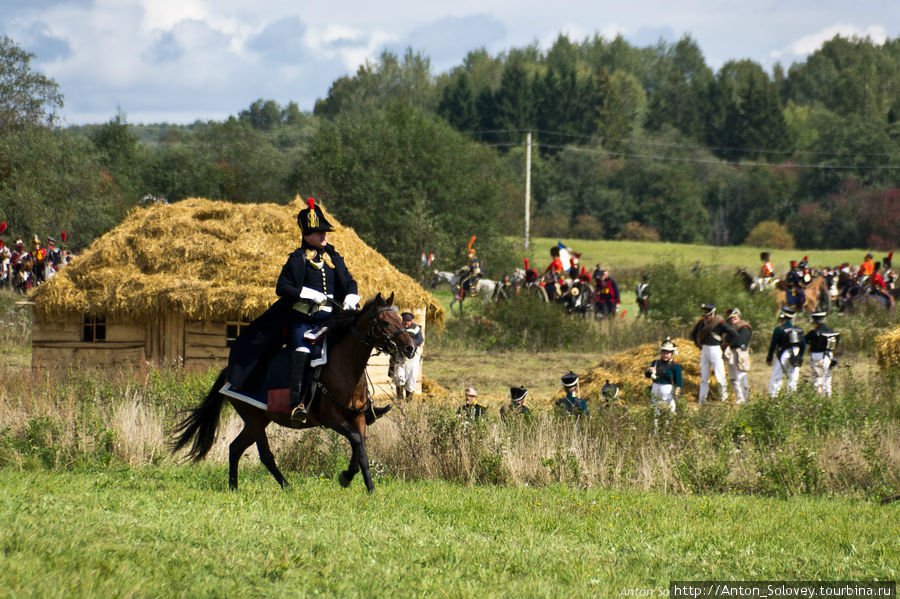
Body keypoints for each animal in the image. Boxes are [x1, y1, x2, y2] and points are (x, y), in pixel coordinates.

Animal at [172, 292, 414, 494]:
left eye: (400, 320)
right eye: (385, 322)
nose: (410, 348)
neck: (346, 369)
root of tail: (229, 374)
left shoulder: (358, 418)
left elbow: (361, 449)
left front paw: (368, 487)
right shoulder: (332, 419)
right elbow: (356, 441)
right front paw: (346, 477)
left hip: (259, 420)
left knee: (235, 448)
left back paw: (234, 488)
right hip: (253, 419)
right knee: (265, 455)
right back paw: (286, 486)